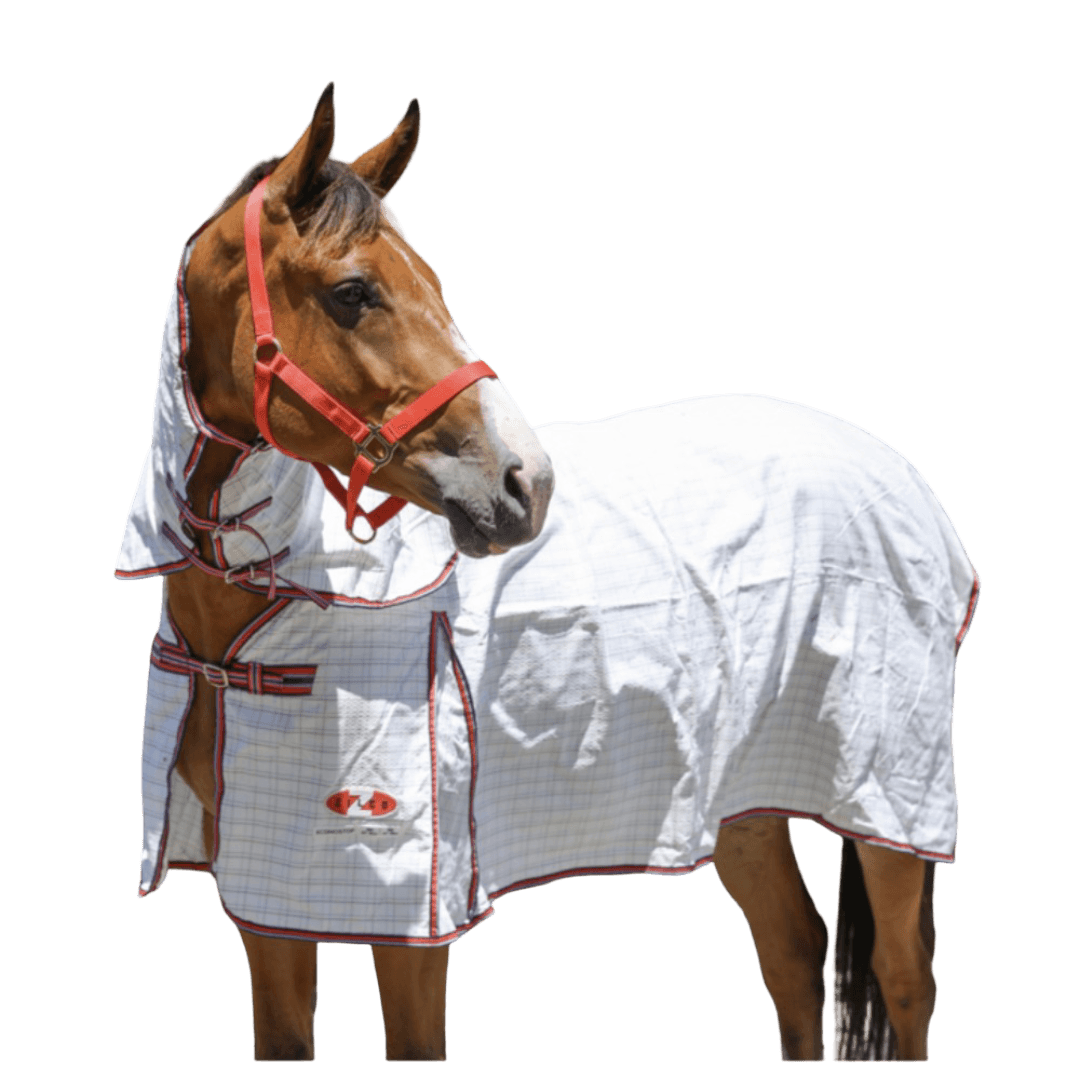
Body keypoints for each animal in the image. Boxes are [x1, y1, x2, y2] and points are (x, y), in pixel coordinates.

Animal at [117, 83, 978, 1063]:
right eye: (351, 292)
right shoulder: (268, 906)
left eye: (434, 285)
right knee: (792, 953)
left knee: (904, 982)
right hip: (743, 796)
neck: (276, 613)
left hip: (888, 809)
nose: (523, 484)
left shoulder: (413, 922)